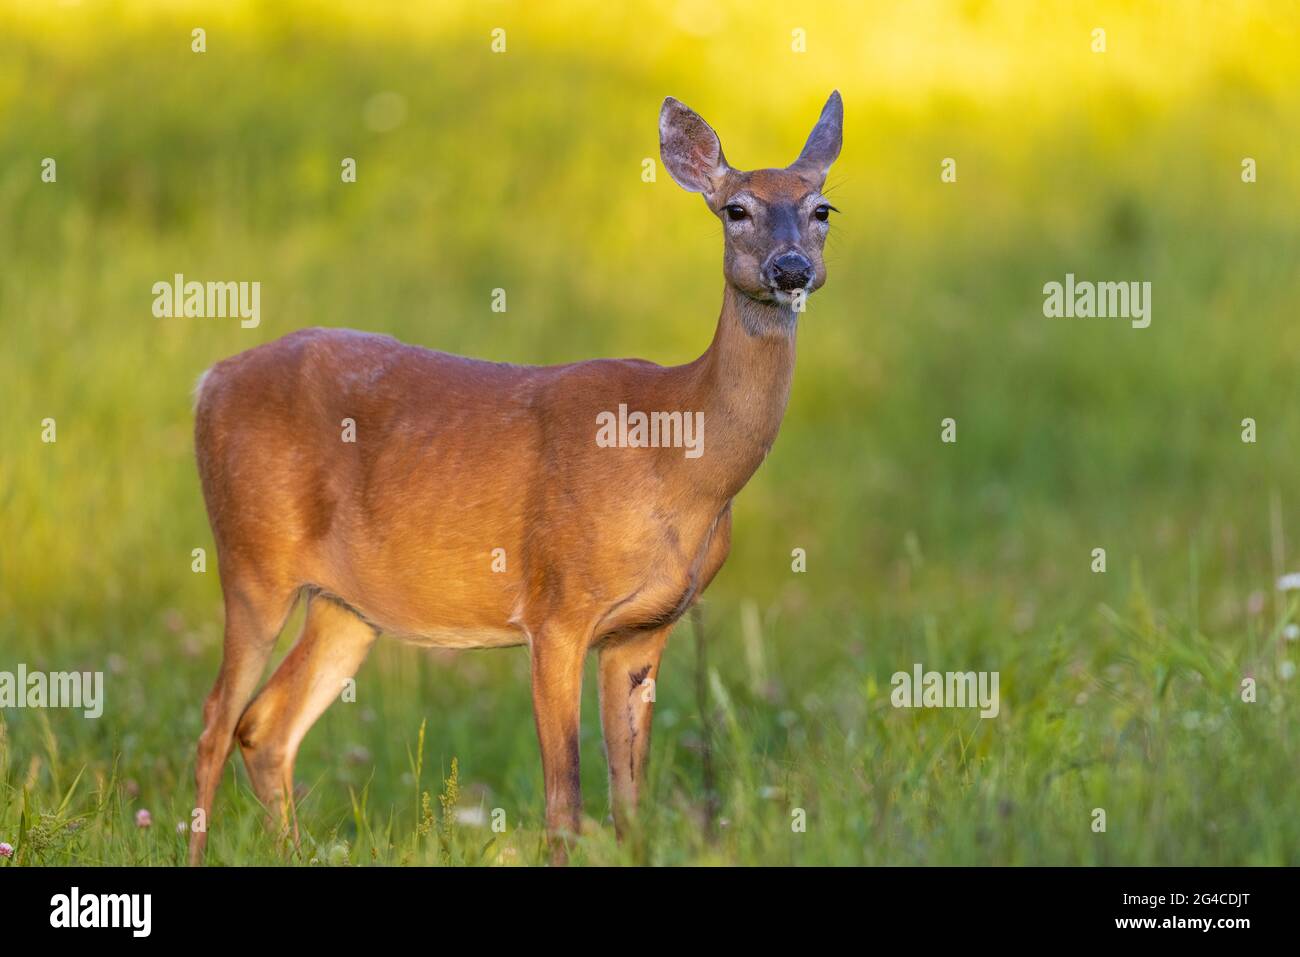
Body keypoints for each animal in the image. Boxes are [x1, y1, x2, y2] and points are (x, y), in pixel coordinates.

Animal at [189, 91, 842, 868]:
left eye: (823, 209)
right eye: (735, 209)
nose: (791, 268)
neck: (677, 454)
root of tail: (208, 381)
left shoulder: (645, 630)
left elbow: (631, 808)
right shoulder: (555, 608)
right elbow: (565, 802)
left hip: (345, 605)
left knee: (264, 726)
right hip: (251, 559)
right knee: (213, 723)